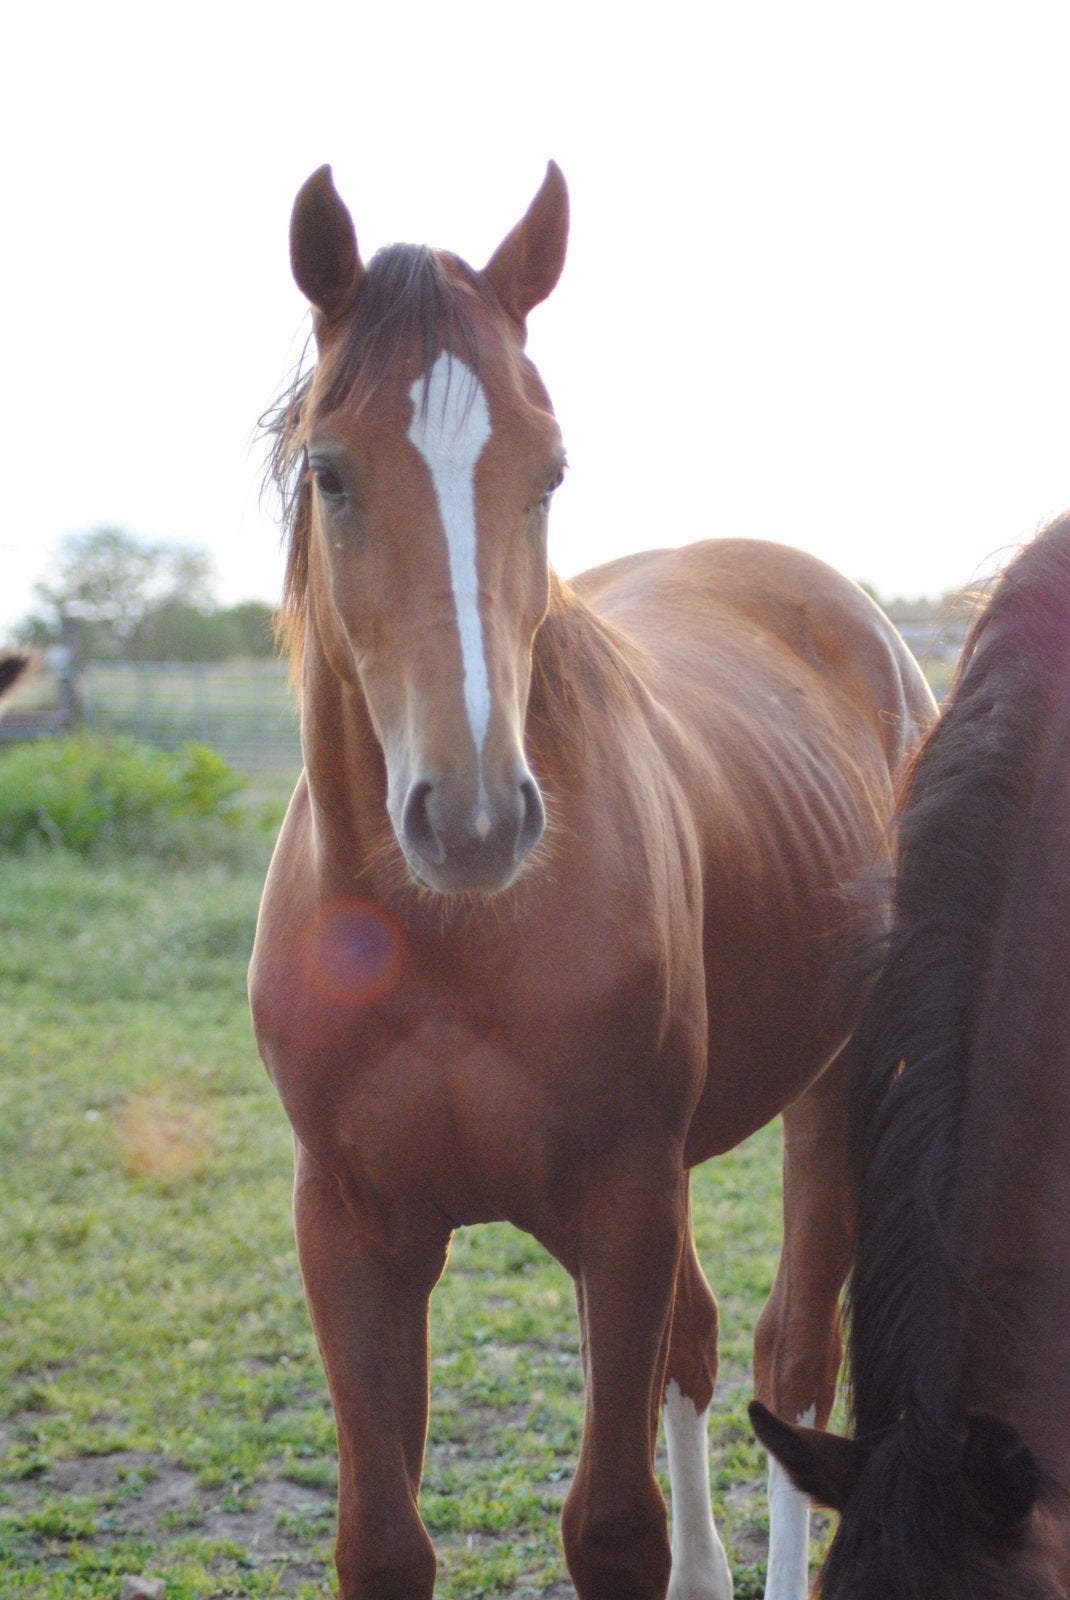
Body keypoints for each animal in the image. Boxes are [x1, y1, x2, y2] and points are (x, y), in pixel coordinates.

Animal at [249, 160, 934, 1600]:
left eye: (547, 470)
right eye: (330, 473)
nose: (470, 817)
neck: (447, 939)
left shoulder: (624, 1199)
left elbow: (610, 1524)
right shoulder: (351, 1225)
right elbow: (382, 1538)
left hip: (836, 1084)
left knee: (791, 1358)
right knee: (705, 1341)